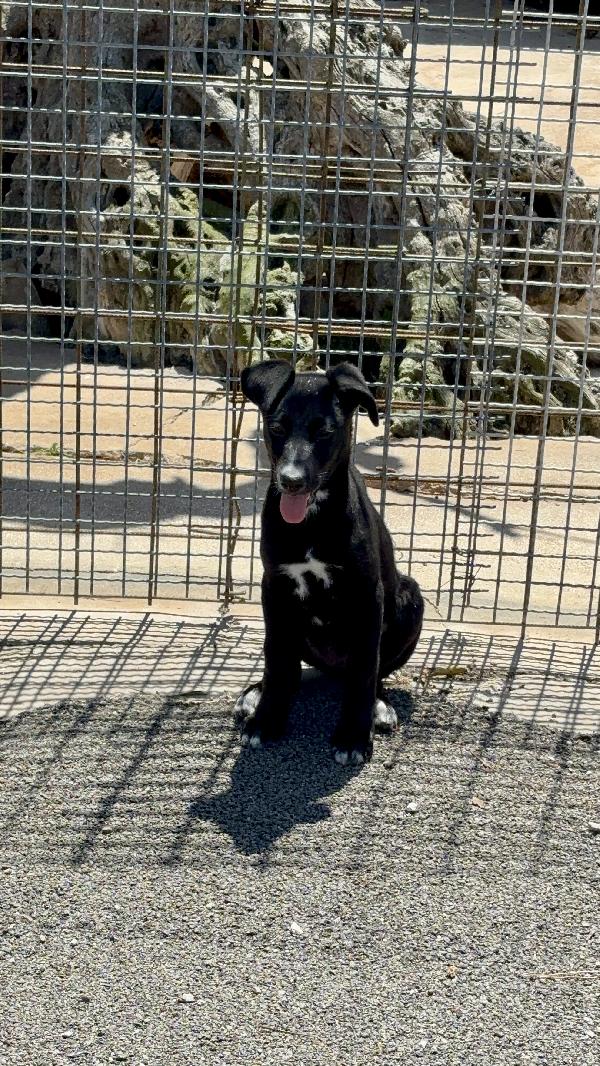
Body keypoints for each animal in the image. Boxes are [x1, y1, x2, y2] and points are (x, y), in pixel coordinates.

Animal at [235, 359, 424, 766]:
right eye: (277, 428)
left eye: (324, 432)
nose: (290, 481)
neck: (311, 521)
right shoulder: (275, 587)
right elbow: (277, 661)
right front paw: (267, 719)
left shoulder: (367, 595)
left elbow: (366, 671)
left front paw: (353, 735)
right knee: (288, 667)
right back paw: (257, 693)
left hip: (409, 598)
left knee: (372, 672)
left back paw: (378, 707)